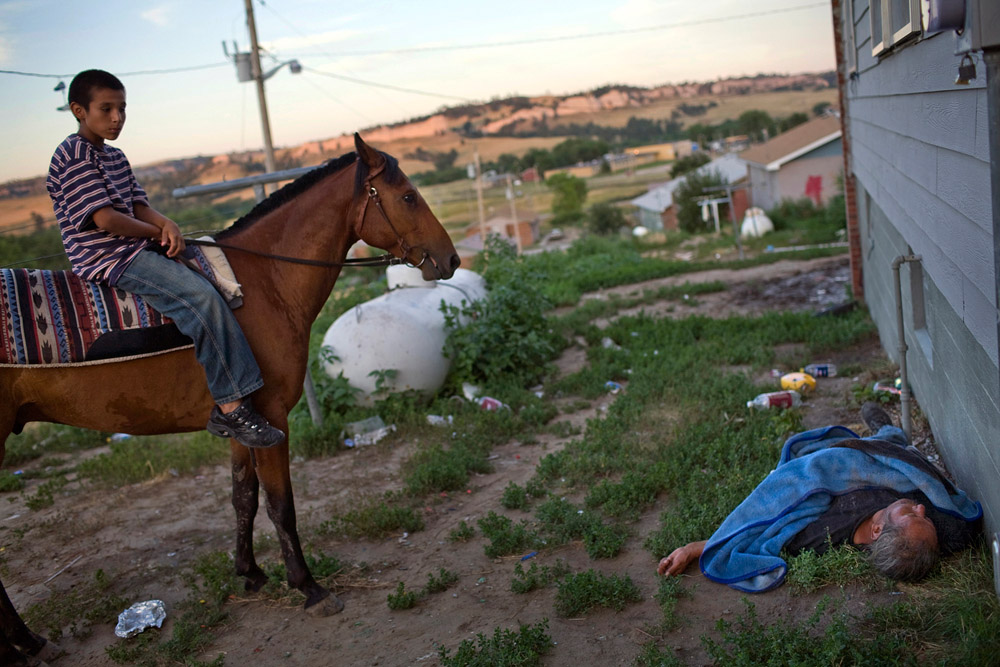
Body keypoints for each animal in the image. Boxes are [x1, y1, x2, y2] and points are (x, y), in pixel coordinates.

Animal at [0, 133, 458, 664]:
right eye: (407, 196)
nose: (451, 260)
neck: (262, 282)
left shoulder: (245, 421)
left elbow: (243, 497)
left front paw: (250, 573)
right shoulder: (274, 417)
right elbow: (281, 505)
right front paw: (308, 587)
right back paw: (27, 641)